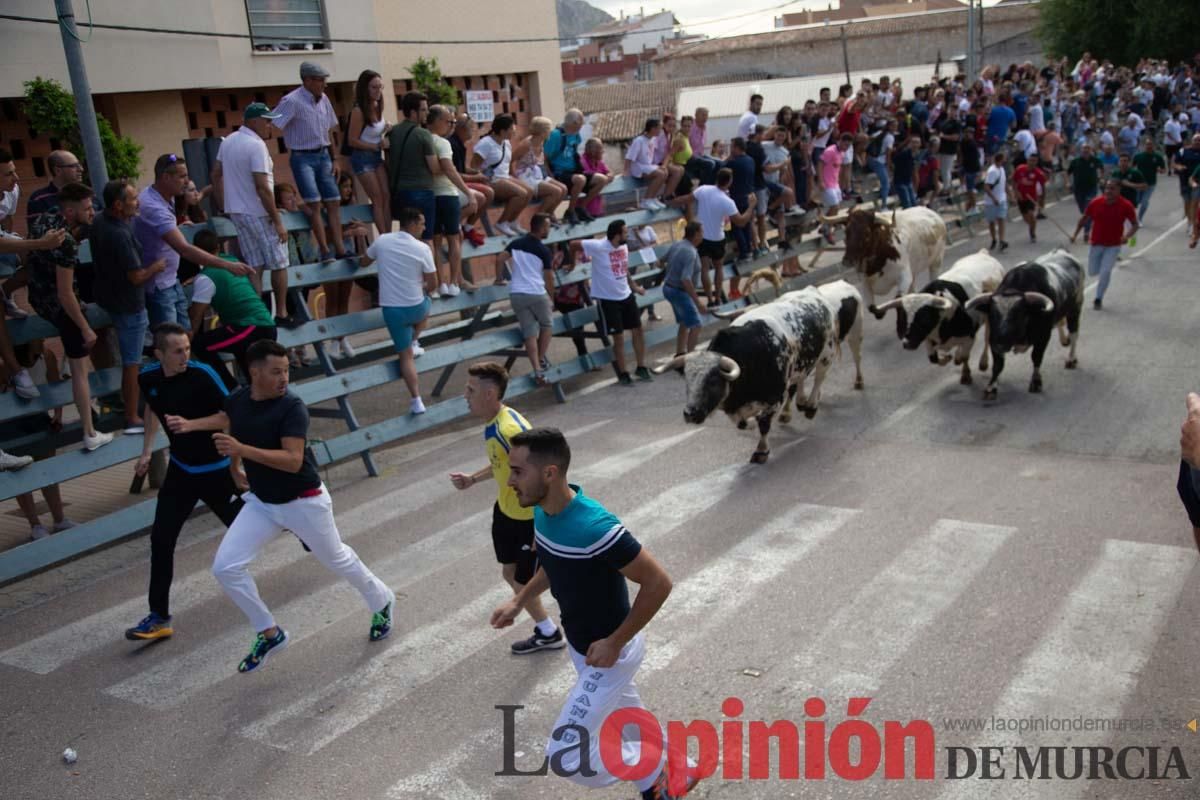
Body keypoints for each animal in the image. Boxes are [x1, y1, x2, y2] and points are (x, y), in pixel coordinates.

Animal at [657, 278, 864, 462]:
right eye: (687, 381)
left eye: (713, 381)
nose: (690, 413)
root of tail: (814, 293)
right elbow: (742, 423)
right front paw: (750, 425)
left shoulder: (774, 398)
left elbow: (763, 424)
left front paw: (761, 451)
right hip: (802, 362)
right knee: (802, 379)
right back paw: (798, 405)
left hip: (829, 352)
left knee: (821, 377)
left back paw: (813, 404)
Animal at [873, 250, 1003, 388]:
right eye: (903, 318)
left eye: (924, 318)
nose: (907, 343)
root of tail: (982, 253)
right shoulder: (928, 339)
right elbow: (933, 359)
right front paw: (947, 358)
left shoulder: (969, 337)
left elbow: (965, 356)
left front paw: (965, 375)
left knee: (987, 338)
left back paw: (983, 362)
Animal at [960, 248, 1084, 402]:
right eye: (993, 314)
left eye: (1018, 314)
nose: (1001, 341)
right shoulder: (993, 340)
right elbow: (998, 365)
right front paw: (991, 387)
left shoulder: (1043, 337)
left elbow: (1036, 357)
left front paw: (1036, 382)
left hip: (1075, 309)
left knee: (1074, 334)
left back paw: (1071, 359)